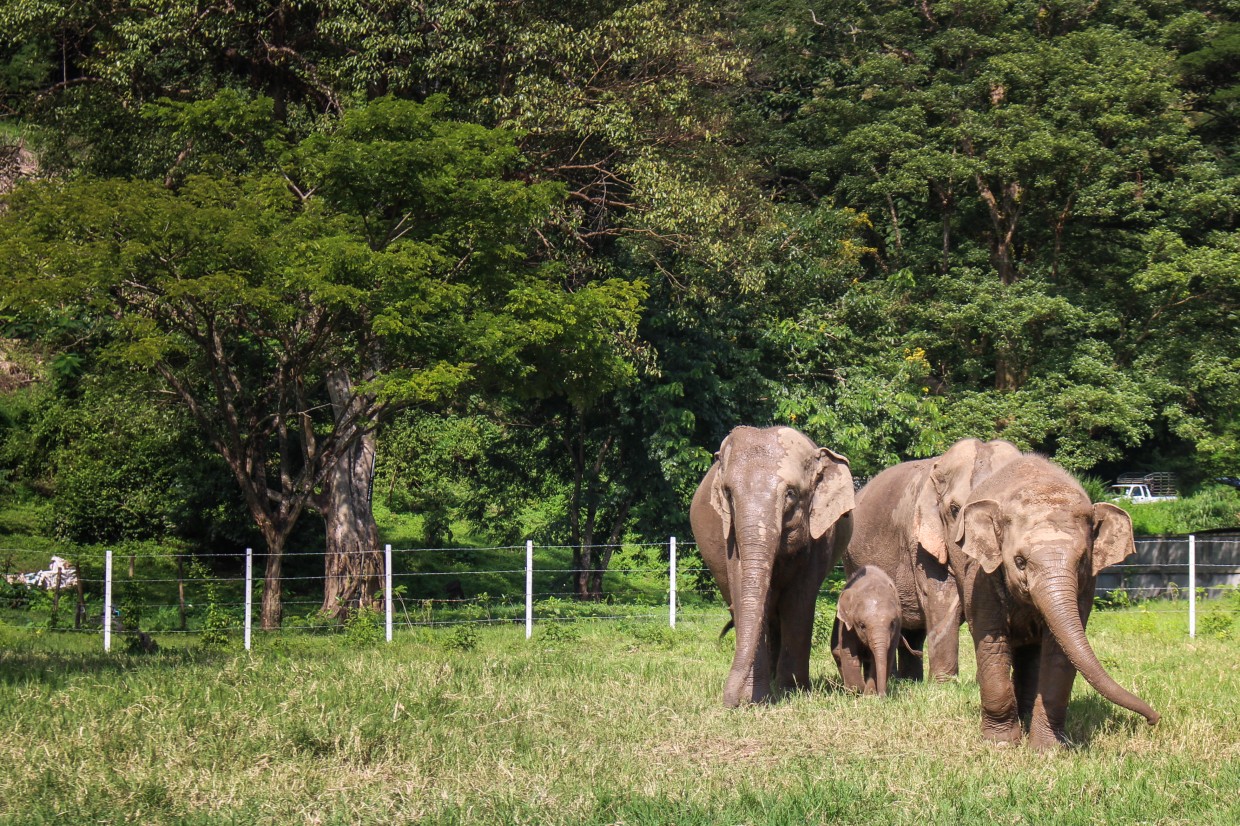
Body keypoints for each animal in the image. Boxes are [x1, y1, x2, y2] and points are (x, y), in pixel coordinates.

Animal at [689, 426, 853, 704]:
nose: (729, 702)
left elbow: (798, 601)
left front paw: (792, 692)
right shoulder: (729, 535)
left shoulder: (821, 536)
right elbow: (747, 595)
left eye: (791, 494)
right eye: (728, 494)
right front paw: (755, 699)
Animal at [947, 453, 1160, 749]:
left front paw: (1047, 750)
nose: (1154, 720)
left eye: (1082, 561)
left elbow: (1060, 651)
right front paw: (1001, 745)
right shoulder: (981, 577)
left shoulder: (1086, 587)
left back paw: (1026, 716)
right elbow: (991, 641)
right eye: (1019, 561)